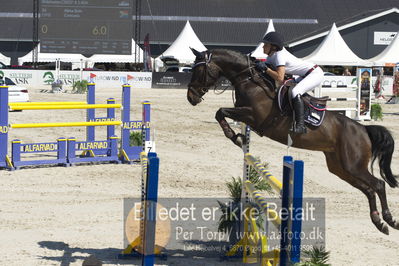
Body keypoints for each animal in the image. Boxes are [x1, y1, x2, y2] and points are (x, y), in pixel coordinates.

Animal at [188, 48, 399, 235]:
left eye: (199, 70)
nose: (191, 97)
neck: (249, 81)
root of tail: (363, 129)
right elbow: (220, 113)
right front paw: (238, 137)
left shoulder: (253, 115)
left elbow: (220, 111)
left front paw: (236, 137)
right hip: (340, 168)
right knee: (369, 189)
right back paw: (379, 222)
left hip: (353, 165)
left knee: (378, 185)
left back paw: (389, 219)